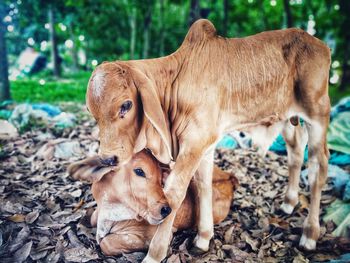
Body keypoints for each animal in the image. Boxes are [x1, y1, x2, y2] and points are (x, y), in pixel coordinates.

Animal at [68, 152, 238, 256]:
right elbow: (93, 217)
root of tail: (229, 177)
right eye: (139, 171)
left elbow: (106, 243)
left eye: (160, 180)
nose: (166, 210)